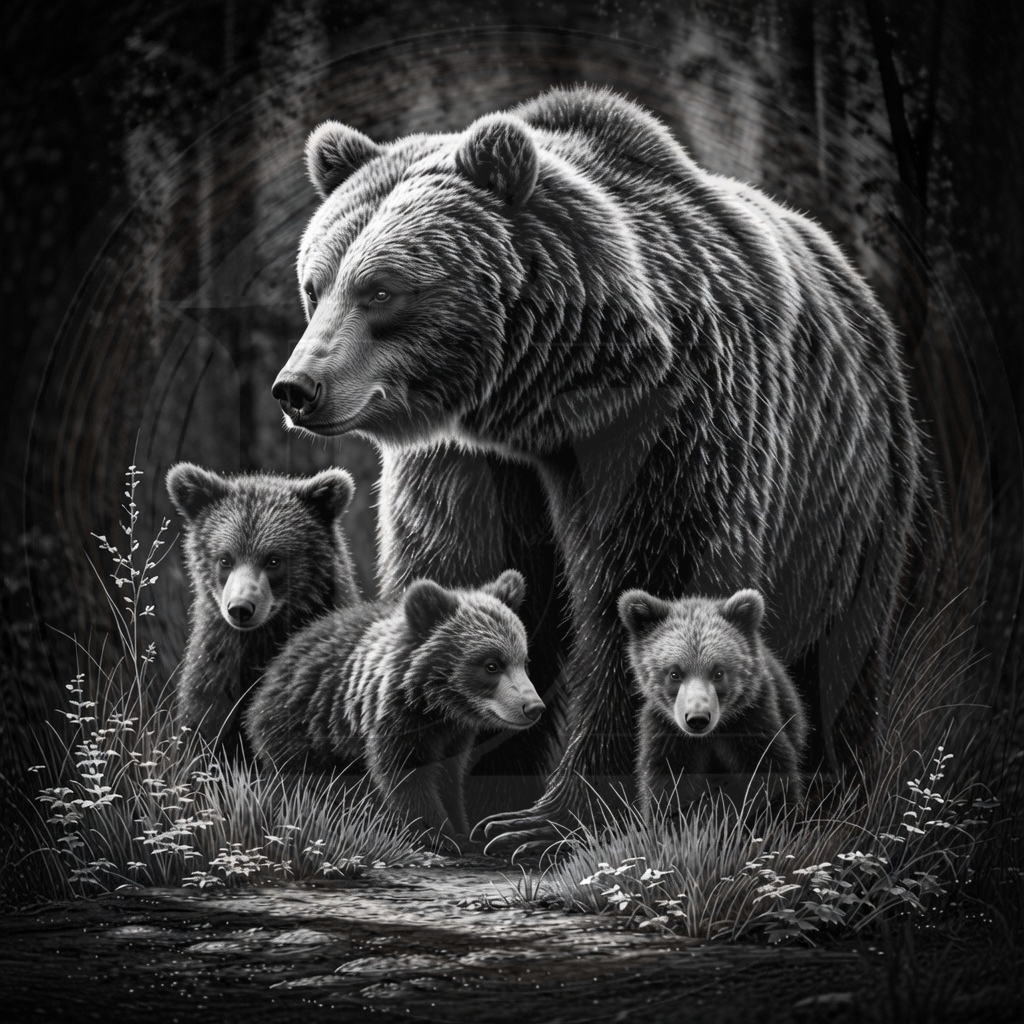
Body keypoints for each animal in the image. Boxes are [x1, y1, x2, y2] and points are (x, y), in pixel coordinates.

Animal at [166, 463, 358, 751]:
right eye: (225, 559)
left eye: (274, 560)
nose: (241, 608)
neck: (261, 641)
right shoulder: (216, 668)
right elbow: (204, 725)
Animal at [242, 569, 543, 843]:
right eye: (492, 665)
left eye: (524, 661)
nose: (533, 707)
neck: (437, 706)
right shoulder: (393, 720)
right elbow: (406, 777)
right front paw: (441, 833)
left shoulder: (453, 735)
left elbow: (449, 778)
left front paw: (463, 828)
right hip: (305, 728)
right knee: (303, 780)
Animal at [618, 587, 809, 819]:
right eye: (674, 673)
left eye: (718, 672)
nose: (697, 718)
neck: (710, 736)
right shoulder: (668, 734)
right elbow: (668, 786)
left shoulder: (751, 721)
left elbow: (769, 770)